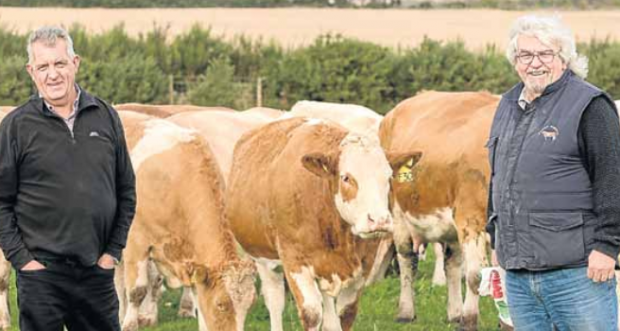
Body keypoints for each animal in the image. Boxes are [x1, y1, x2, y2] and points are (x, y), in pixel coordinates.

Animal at [228, 118, 422, 330]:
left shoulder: (364, 264)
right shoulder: (294, 261)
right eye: (346, 177)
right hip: (262, 256)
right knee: (275, 300)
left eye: (388, 177)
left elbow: (345, 313)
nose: (379, 220)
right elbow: (312, 314)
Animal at [378, 91, 498, 331]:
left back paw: (455, 313)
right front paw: (470, 320)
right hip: (398, 213)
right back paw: (406, 312)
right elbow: (476, 275)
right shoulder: (471, 217)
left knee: (452, 264)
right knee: (407, 259)